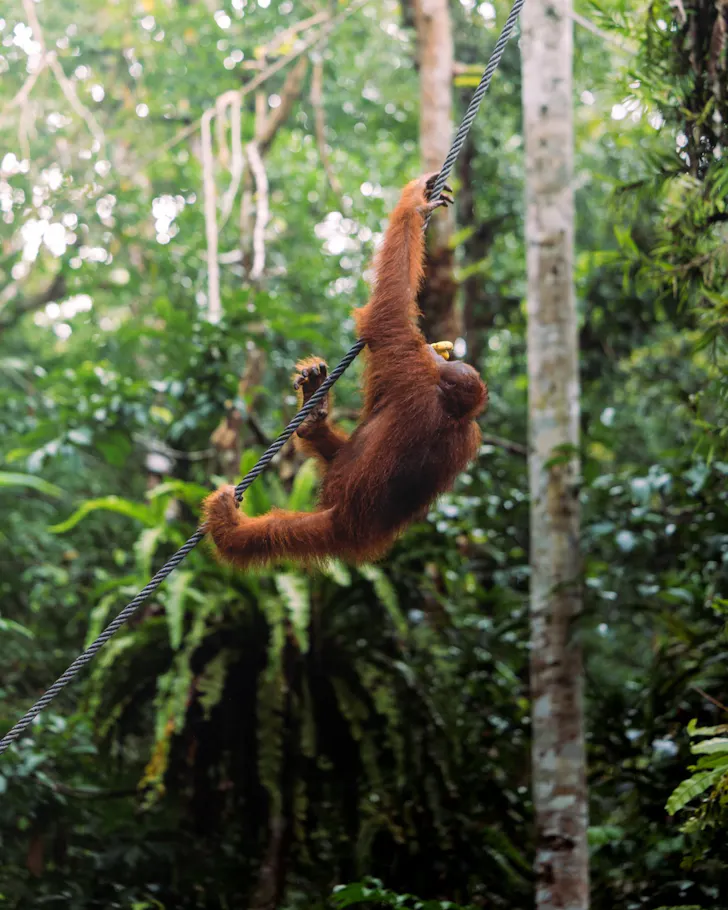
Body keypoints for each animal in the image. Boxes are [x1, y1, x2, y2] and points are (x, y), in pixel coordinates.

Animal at [203, 173, 488, 569]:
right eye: (448, 364)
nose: (441, 356)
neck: (451, 412)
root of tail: (360, 535)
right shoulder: (470, 433)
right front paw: (421, 198)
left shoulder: (408, 366)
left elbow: (387, 312)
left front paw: (413, 205)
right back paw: (314, 414)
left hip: (331, 523)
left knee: (278, 531)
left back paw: (228, 527)